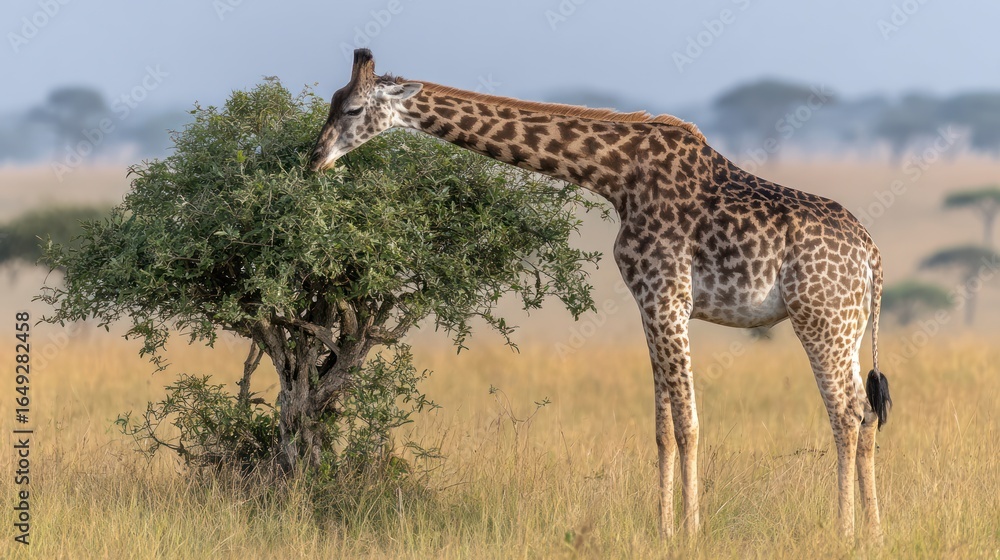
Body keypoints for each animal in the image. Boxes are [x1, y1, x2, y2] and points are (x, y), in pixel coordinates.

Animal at [309, 49, 893, 541]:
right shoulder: (649, 304)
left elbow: (689, 423)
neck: (617, 177)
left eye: (354, 108)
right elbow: (662, 428)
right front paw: (664, 530)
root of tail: (872, 255)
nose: (314, 159)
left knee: (845, 413)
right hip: (849, 324)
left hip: (819, 318)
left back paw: (843, 531)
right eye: (332, 103)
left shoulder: (667, 296)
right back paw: (873, 532)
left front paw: (692, 532)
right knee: (865, 411)